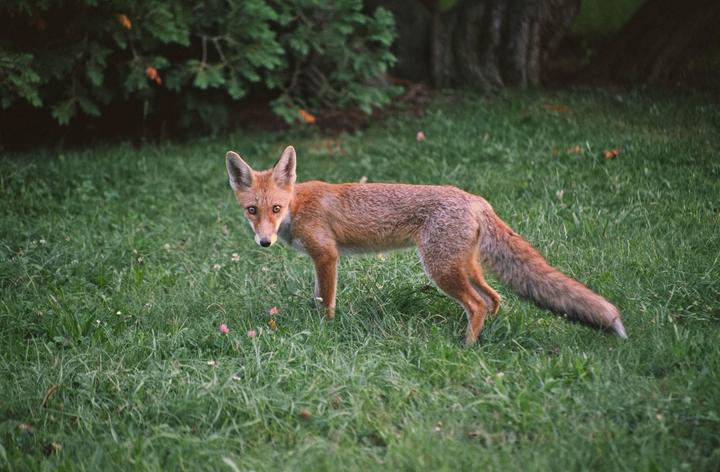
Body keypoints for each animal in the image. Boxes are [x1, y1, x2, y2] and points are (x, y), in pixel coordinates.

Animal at [225, 145, 627, 345]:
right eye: (252, 210)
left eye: (276, 209)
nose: (264, 241)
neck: (297, 206)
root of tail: (476, 199)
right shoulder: (320, 258)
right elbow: (317, 297)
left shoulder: (326, 255)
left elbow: (326, 302)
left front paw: (325, 331)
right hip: (463, 266)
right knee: (494, 299)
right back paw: (487, 335)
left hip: (440, 270)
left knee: (478, 304)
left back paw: (466, 347)